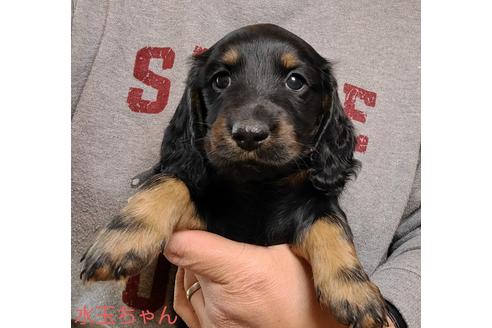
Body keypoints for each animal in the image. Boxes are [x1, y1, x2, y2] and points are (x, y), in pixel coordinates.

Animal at [80, 23, 388, 328]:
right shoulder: (206, 220)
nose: (249, 134)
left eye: (295, 80)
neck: (258, 185)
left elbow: (332, 226)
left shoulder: (313, 206)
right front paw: (122, 239)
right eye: (221, 80)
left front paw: (355, 292)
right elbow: (168, 181)